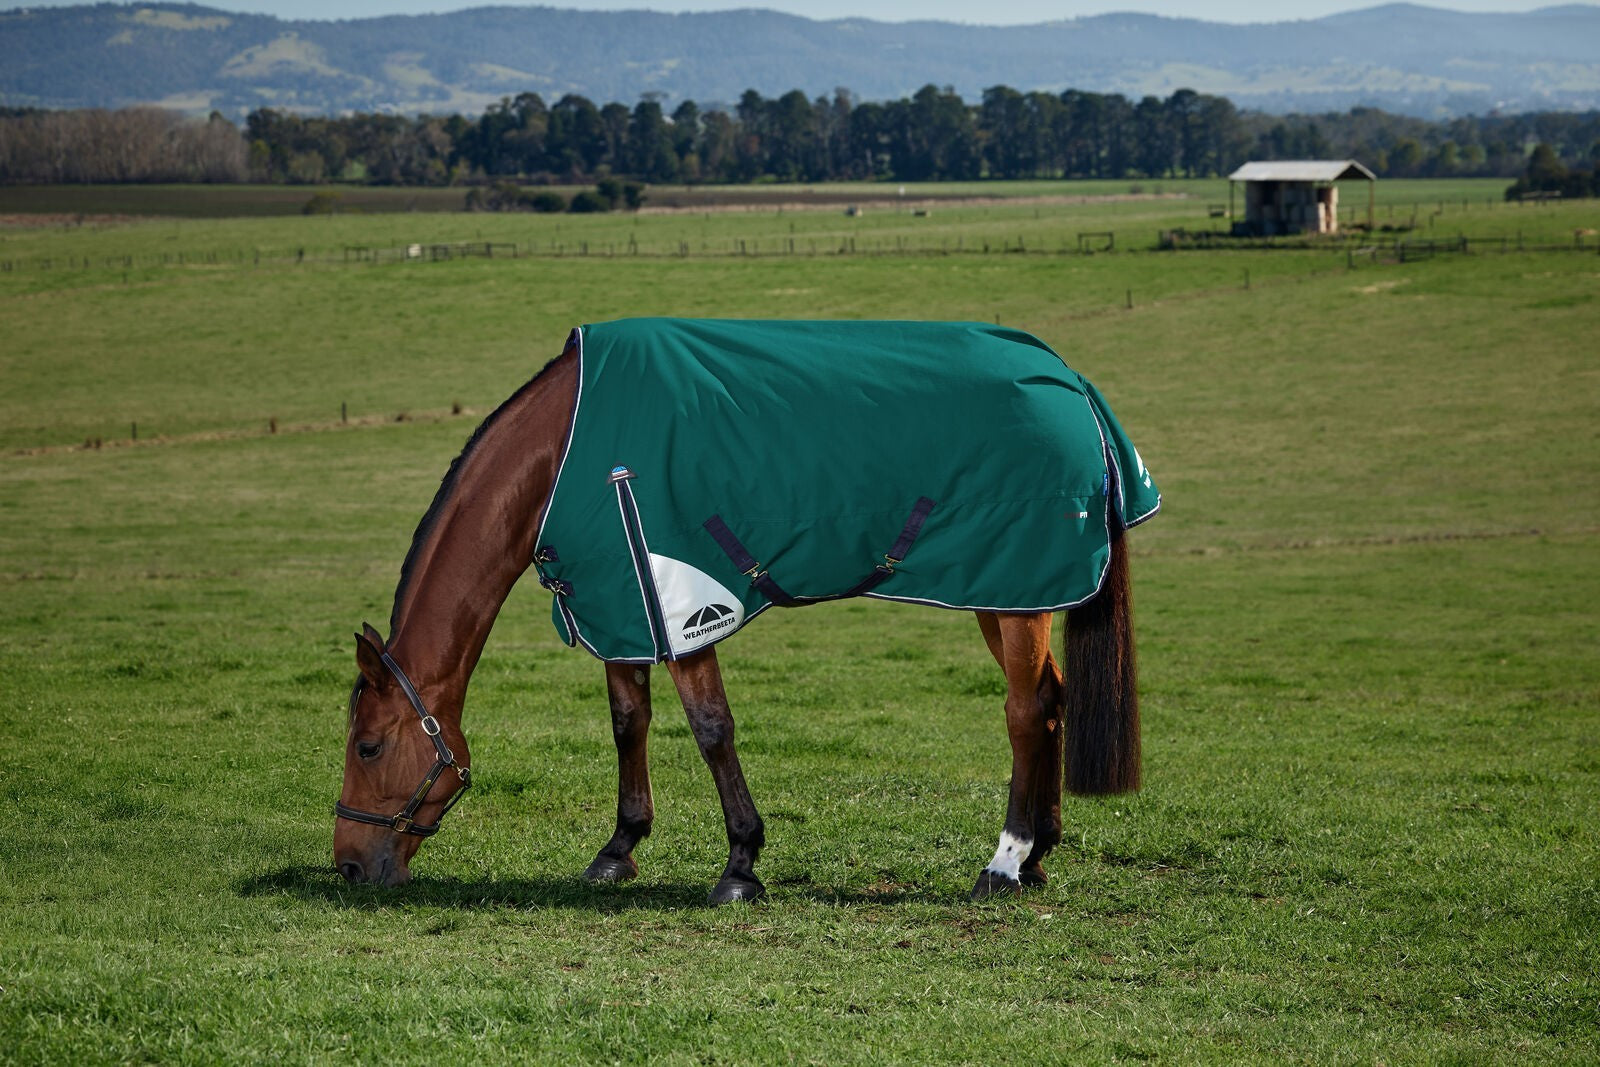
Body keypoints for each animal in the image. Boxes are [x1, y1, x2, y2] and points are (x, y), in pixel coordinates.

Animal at [335, 320, 1154, 903]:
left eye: (368, 746)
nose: (347, 865)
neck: (566, 450)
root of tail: (1071, 381)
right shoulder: (622, 604)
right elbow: (629, 722)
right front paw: (619, 847)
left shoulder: (684, 605)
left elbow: (711, 729)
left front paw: (740, 862)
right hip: (1014, 592)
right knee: (1052, 701)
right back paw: (1041, 853)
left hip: (1013, 593)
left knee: (1025, 710)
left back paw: (1006, 860)